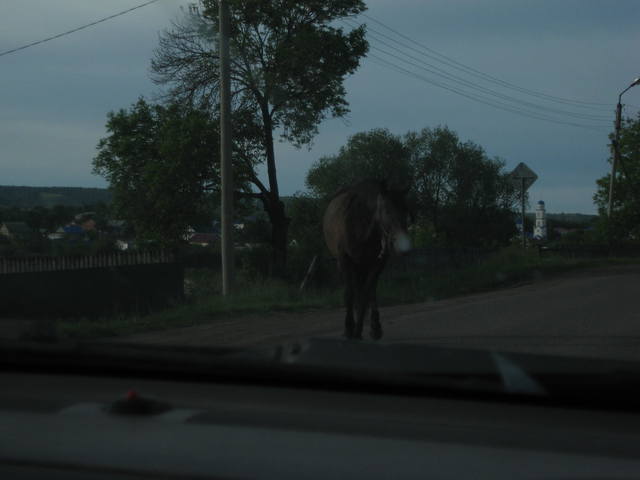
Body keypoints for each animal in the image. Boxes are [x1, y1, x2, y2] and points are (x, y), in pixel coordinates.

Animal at [322, 180, 412, 342]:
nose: (404, 246)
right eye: (387, 211)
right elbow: (349, 293)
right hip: (350, 264)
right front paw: (349, 328)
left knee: (366, 290)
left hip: (362, 265)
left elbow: (367, 292)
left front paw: (366, 329)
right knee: (354, 290)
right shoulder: (345, 260)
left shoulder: (378, 263)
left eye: (406, 211)